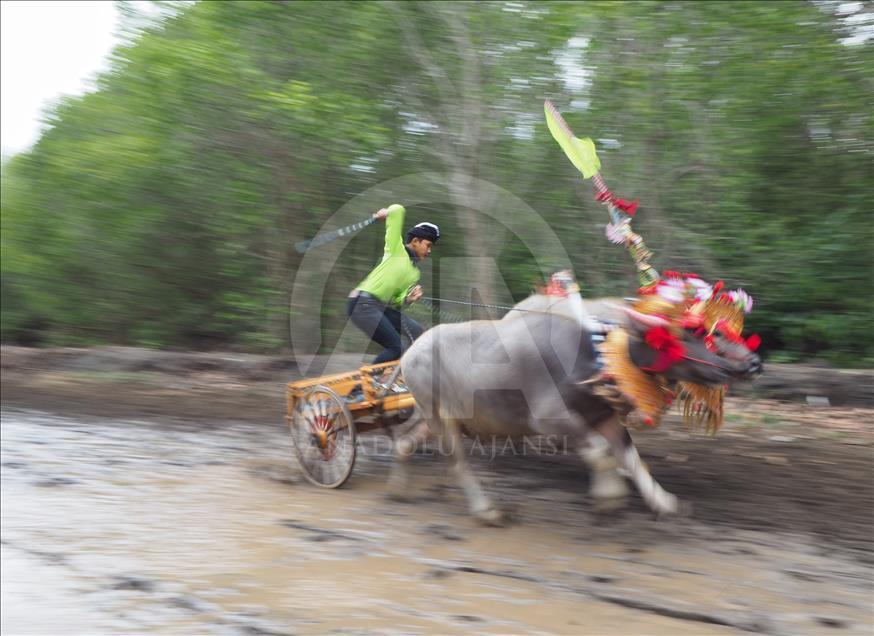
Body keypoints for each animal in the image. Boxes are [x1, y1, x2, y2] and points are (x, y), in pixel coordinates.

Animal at [392, 290, 760, 524]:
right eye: (684, 334)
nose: (752, 364)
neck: (596, 356)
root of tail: (411, 352)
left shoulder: (606, 417)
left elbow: (630, 458)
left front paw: (664, 502)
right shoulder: (550, 419)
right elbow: (600, 452)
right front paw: (610, 495)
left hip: (438, 418)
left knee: (404, 443)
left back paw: (401, 489)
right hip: (441, 420)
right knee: (457, 464)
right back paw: (487, 510)